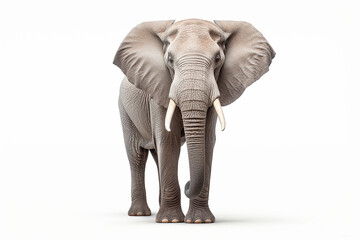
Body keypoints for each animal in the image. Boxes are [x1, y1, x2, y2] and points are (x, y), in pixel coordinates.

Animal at [114, 18, 274, 223]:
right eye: (170, 60)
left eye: (217, 59)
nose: (187, 183)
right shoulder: (158, 89)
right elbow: (168, 140)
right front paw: (170, 221)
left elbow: (206, 141)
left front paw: (199, 220)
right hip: (124, 110)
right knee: (137, 156)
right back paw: (140, 213)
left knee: (157, 156)